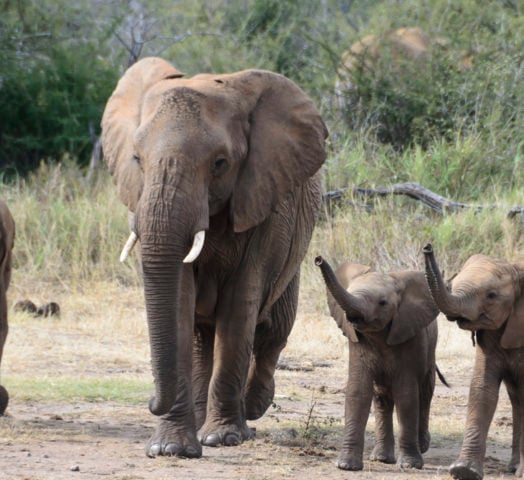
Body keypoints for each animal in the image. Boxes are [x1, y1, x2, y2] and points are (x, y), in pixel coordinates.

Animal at [101, 56, 328, 458]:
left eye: (220, 163)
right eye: (137, 159)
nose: (150, 401)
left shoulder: (264, 206)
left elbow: (240, 306)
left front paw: (221, 439)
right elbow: (180, 301)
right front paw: (170, 449)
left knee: (273, 330)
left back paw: (251, 410)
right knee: (202, 337)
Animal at [316, 256, 442, 470]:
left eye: (382, 303)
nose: (318, 259)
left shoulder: (410, 337)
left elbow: (406, 394)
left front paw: (409, 465)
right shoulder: (357, 343)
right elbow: (358, 391)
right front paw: (346, 466)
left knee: (424, 394)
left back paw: (422, 446)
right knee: (382, 399)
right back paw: (382, 458)